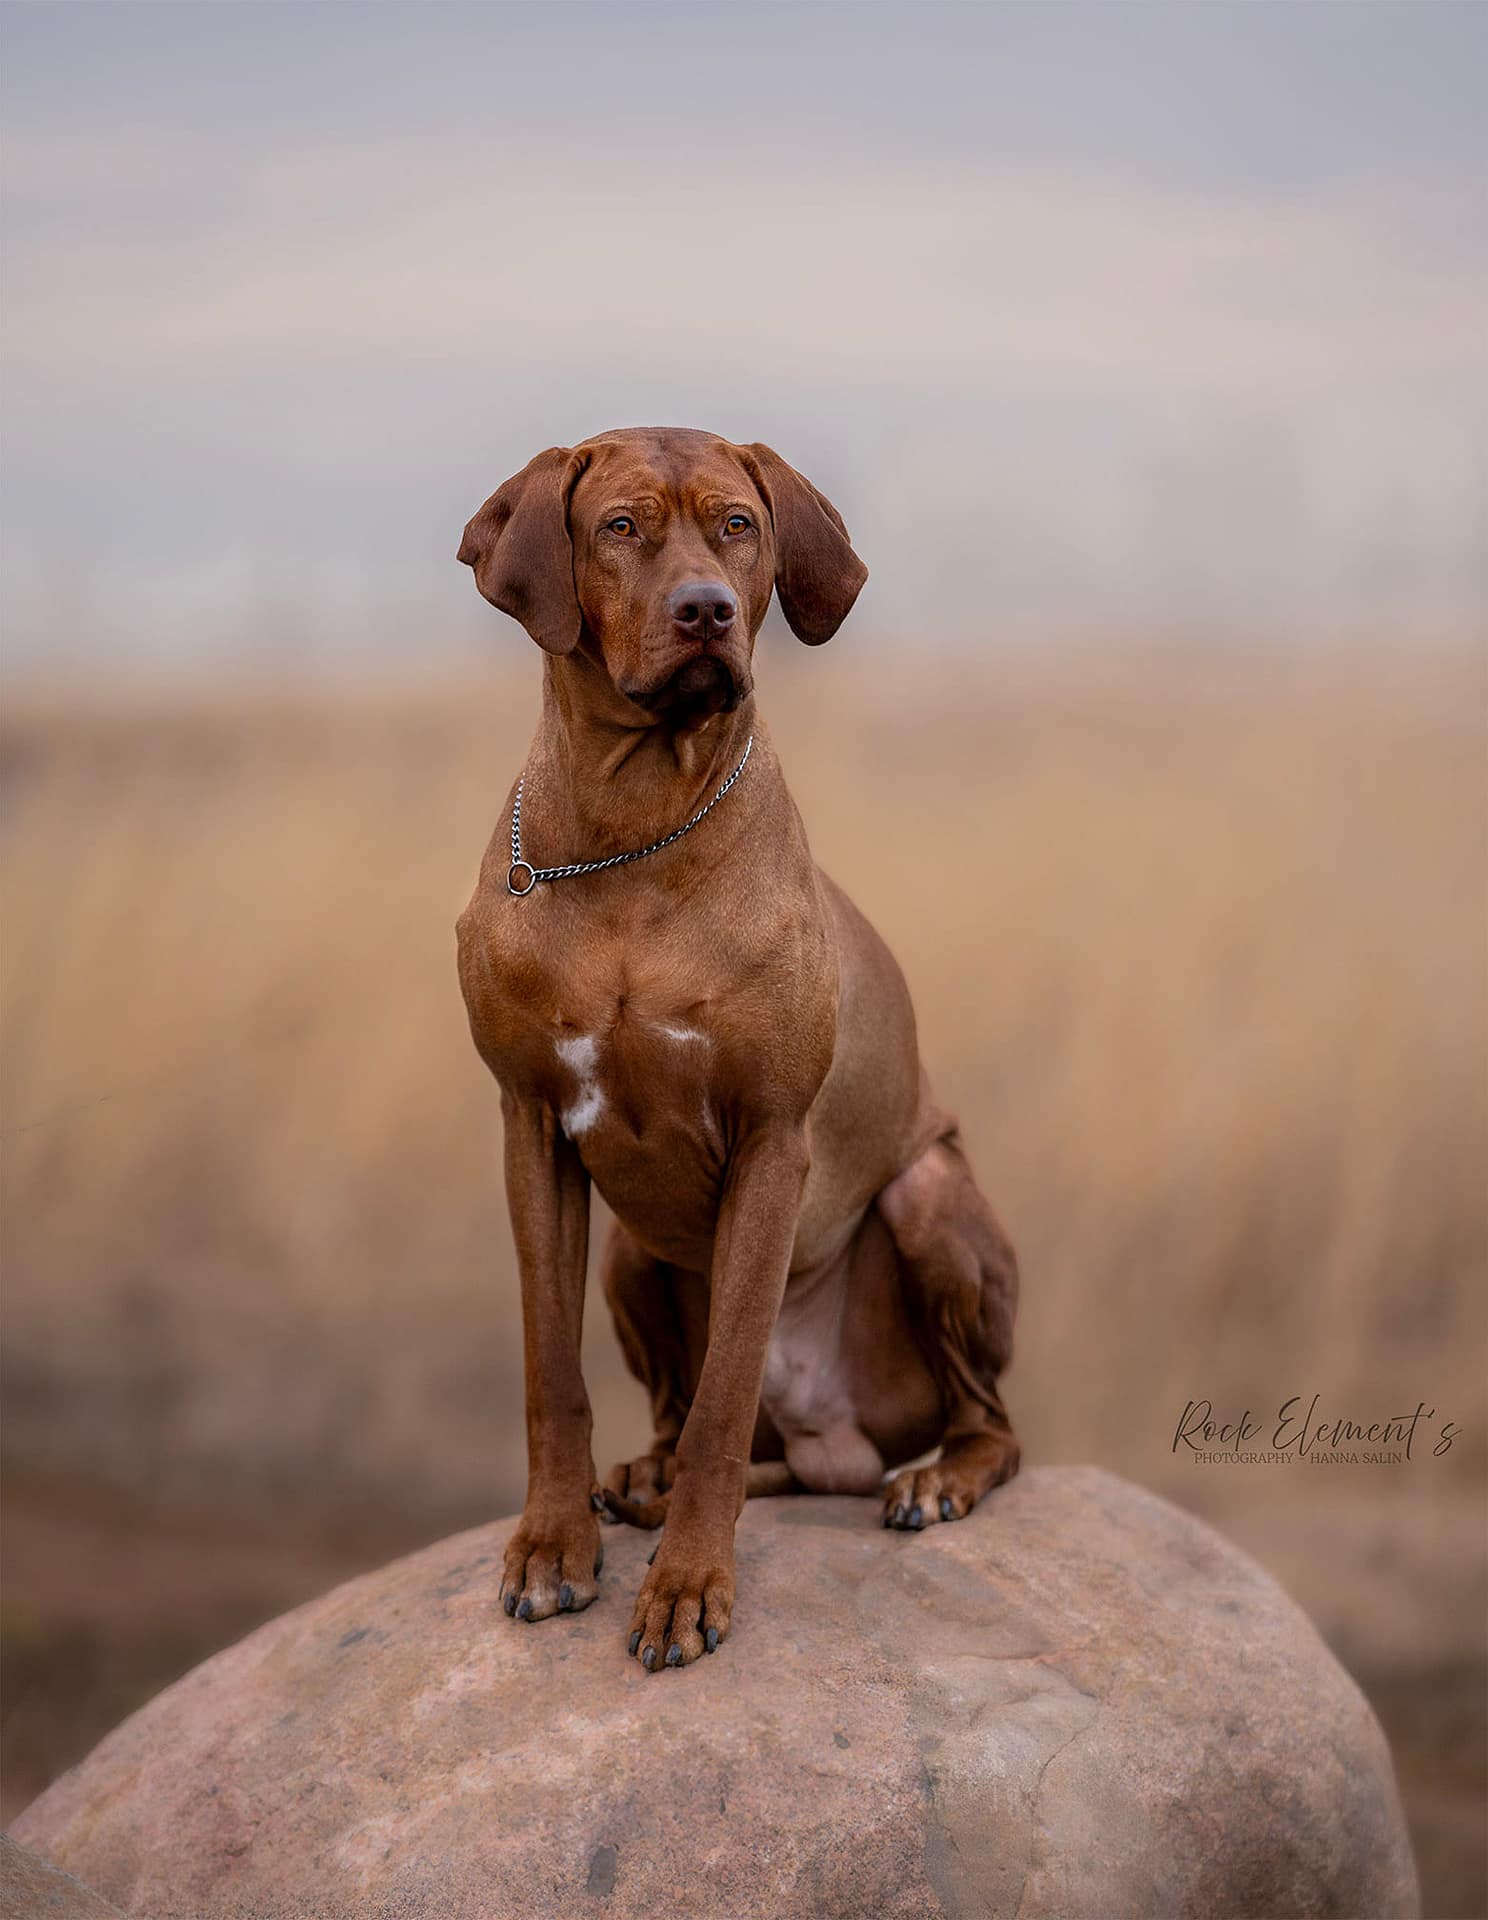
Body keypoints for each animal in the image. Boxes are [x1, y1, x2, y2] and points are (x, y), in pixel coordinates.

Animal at [455, 428, 1020, 1673]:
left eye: (738, 526)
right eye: (620, 526)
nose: (707, 610)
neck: (626, 837)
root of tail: (832, 1437)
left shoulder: (772, 1142)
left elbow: (721, 1398)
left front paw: (687, 1586)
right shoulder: (529, 1127)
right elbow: (550, 1371)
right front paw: (553, 1545)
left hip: (927, 1197)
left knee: (991, 1426)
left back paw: (934, 1481)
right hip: (630, 1254)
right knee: (693, 1423)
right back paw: (642, 1480)